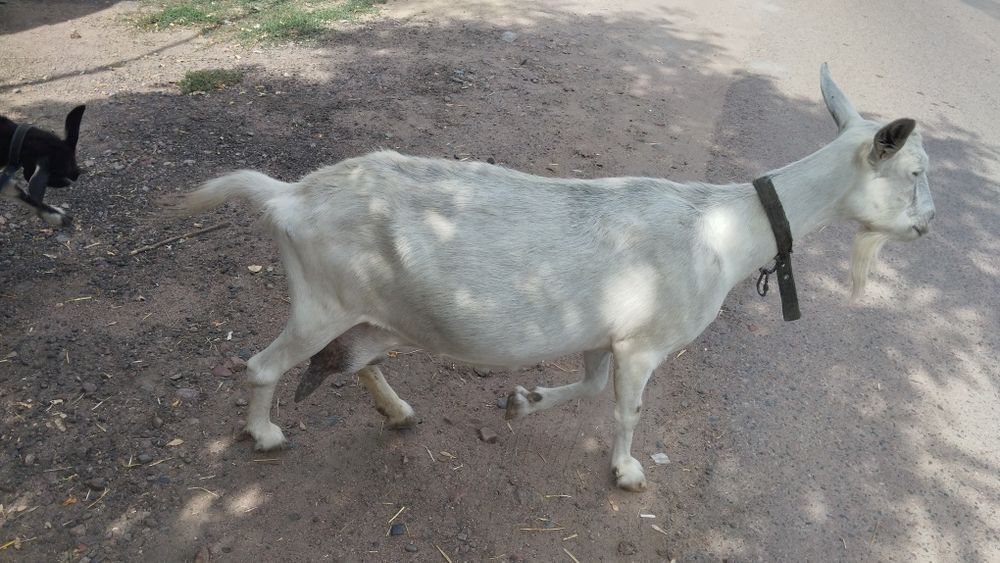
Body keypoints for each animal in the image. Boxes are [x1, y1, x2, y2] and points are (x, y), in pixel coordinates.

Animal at [183, 65, 934, 491]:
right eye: (916, 170)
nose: (929, 224)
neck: (724, 229)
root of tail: (289, 197)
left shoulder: (609, 334)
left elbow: (593, 385)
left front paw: (522, 402)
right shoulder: (645, 342)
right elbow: (627, 408)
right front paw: (627, 472)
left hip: (375, 313)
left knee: (356, 360)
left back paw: (398, 412)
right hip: (321, 300)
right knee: (262, 364)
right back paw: (266, 434)